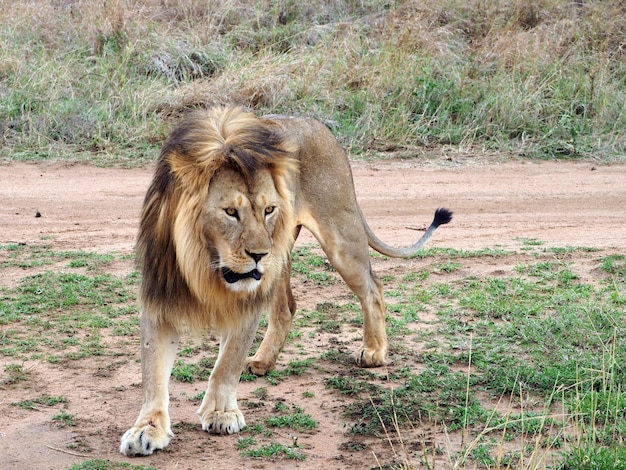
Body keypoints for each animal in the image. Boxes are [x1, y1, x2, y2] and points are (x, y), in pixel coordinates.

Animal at [119, 106, 448, 456]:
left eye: (268, 210)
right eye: (230, 212)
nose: (259, 254)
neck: (204, 263)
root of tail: (320, 126)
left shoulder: (245, 301)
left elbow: (227, 363)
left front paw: (221, 413)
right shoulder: (160, 298)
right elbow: (153, 374)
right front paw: (147, 429)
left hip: (336, 238)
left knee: (373, 287)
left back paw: (374, 351)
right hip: (282, 261)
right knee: (286, 307)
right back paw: (263, 361)